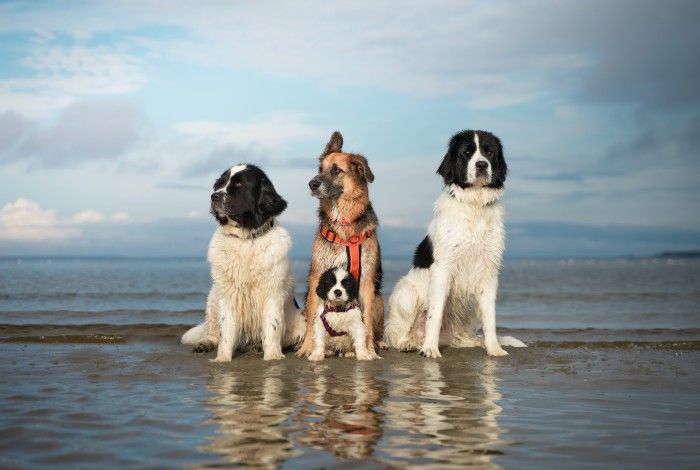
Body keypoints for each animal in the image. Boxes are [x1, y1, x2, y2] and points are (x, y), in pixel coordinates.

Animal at [180, 163, 304, 362]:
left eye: (238, 185)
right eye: (219, 184)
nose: (214, 196)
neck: (246, 239)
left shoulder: (271, 292)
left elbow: (272, 327)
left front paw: (273, 357)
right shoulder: (228, 294)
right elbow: (225, 331)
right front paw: (222, 359)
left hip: (299, 319)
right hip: (213, 296)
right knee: (212, 330)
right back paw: (205, 343)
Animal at [296, 130, 382, 358]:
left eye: (336, 170)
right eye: (320, 169)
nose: (312, 183)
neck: (343, 221)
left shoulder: (367, 282)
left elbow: (365, 321)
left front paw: (369, 350)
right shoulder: (318, 275)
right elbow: (313, 319)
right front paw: (307, 348)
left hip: (380, 299)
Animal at [382, 129, 524, 356]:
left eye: (489, 152)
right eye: (467, 153)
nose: (482, 165)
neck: (474, 205)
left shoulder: (489, 272)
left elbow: (490, 318)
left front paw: (494, 349)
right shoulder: (443, 270)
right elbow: (435, 314)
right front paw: (430, 349)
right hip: (406, 293)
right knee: (396, 331)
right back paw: (408, 343)